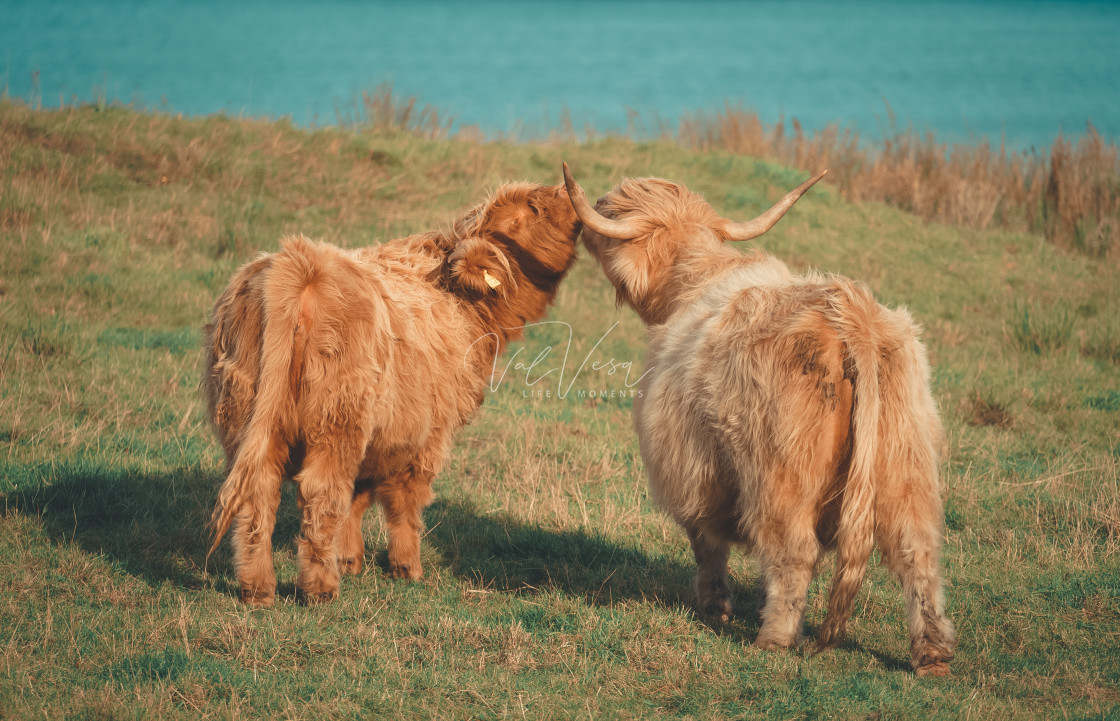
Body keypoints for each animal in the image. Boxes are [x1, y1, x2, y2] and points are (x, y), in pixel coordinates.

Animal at [204, 181, 582, 609]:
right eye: (534, 207)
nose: (570, 189)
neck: (463, 305)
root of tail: (298, 262)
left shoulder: (380, 436)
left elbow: (357, 497)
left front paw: (350, 558)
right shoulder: (428, 435)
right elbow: (405, 500)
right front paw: (405, 567)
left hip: (244, 415)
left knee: (259, 493)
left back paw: (257, 589)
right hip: (337, 419)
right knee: (319, 490)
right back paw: (320, 588)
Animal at [564, 163, 958, 676]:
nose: (585, 219)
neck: (693, 282)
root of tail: (851, 315)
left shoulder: (693, 467)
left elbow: (706, 542)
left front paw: (715, 606)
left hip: (780, 475)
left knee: (794, 554)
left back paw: (772, 639)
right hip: (907, 464)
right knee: (918, 555)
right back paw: (932, 655)